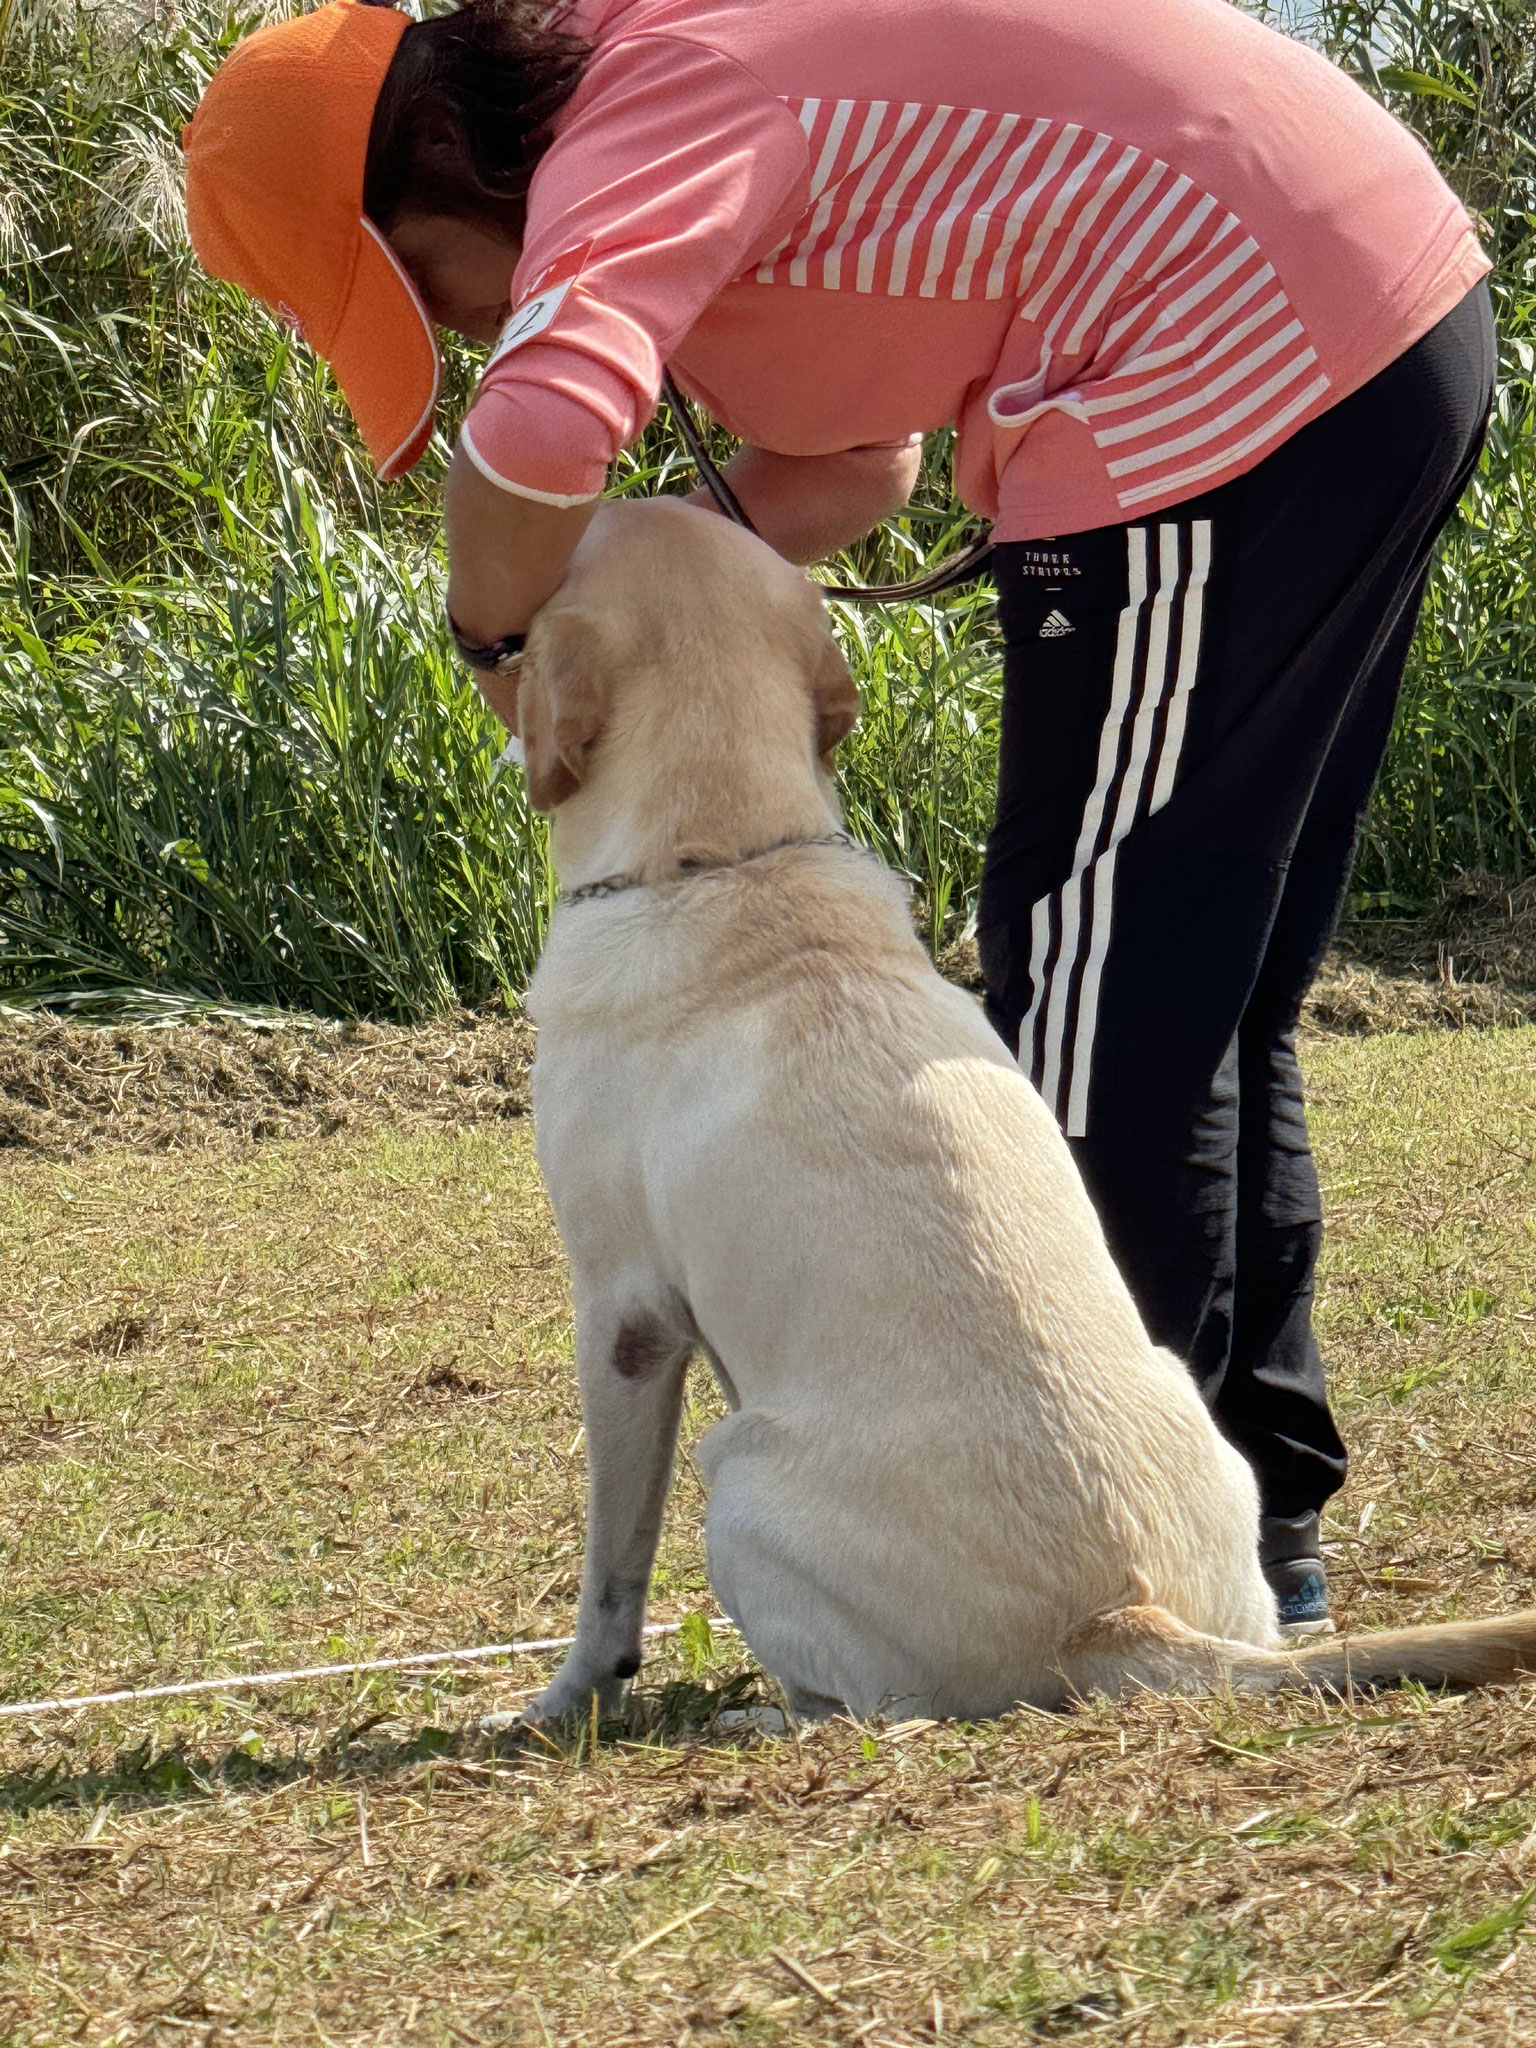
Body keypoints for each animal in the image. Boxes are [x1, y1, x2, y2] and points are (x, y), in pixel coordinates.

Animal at [495, 499, 1536, 1728]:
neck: (729, 857)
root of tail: (1122, 1614)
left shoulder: (624, 1317)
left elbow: (611, 1569)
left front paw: (560, 1702)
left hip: (734, 1471)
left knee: (868, 1702)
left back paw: (773, 1707)